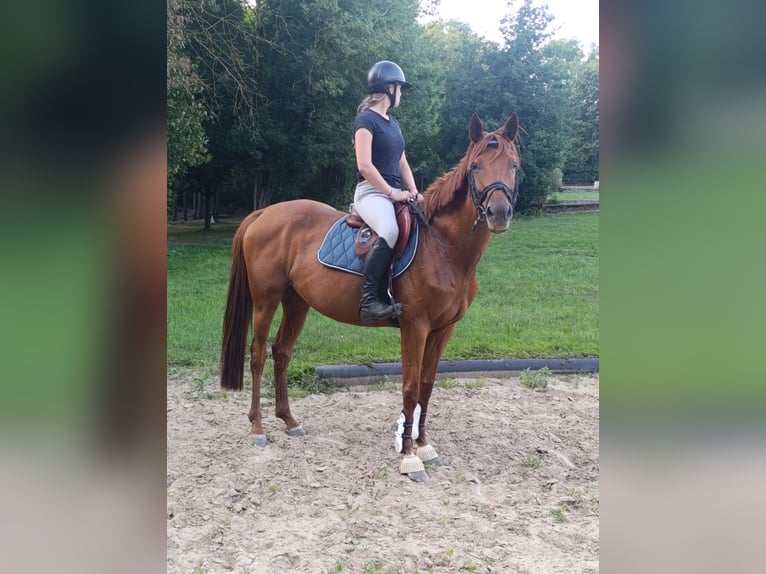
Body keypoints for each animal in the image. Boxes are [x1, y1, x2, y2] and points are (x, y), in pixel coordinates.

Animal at [220, 112, 520, 482]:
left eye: (514, 165)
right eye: (476, 166)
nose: (499, 213)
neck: (442, 247)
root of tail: (264, 213)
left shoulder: (443, 329)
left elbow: (426, 385)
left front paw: (424, 445)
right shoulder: (415, 326)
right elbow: (409, 387)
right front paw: (409, 456)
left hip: (297, 303)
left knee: (282, 352)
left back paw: (289, 421)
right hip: (266, 300)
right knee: (259, 354)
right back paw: (258, 428)